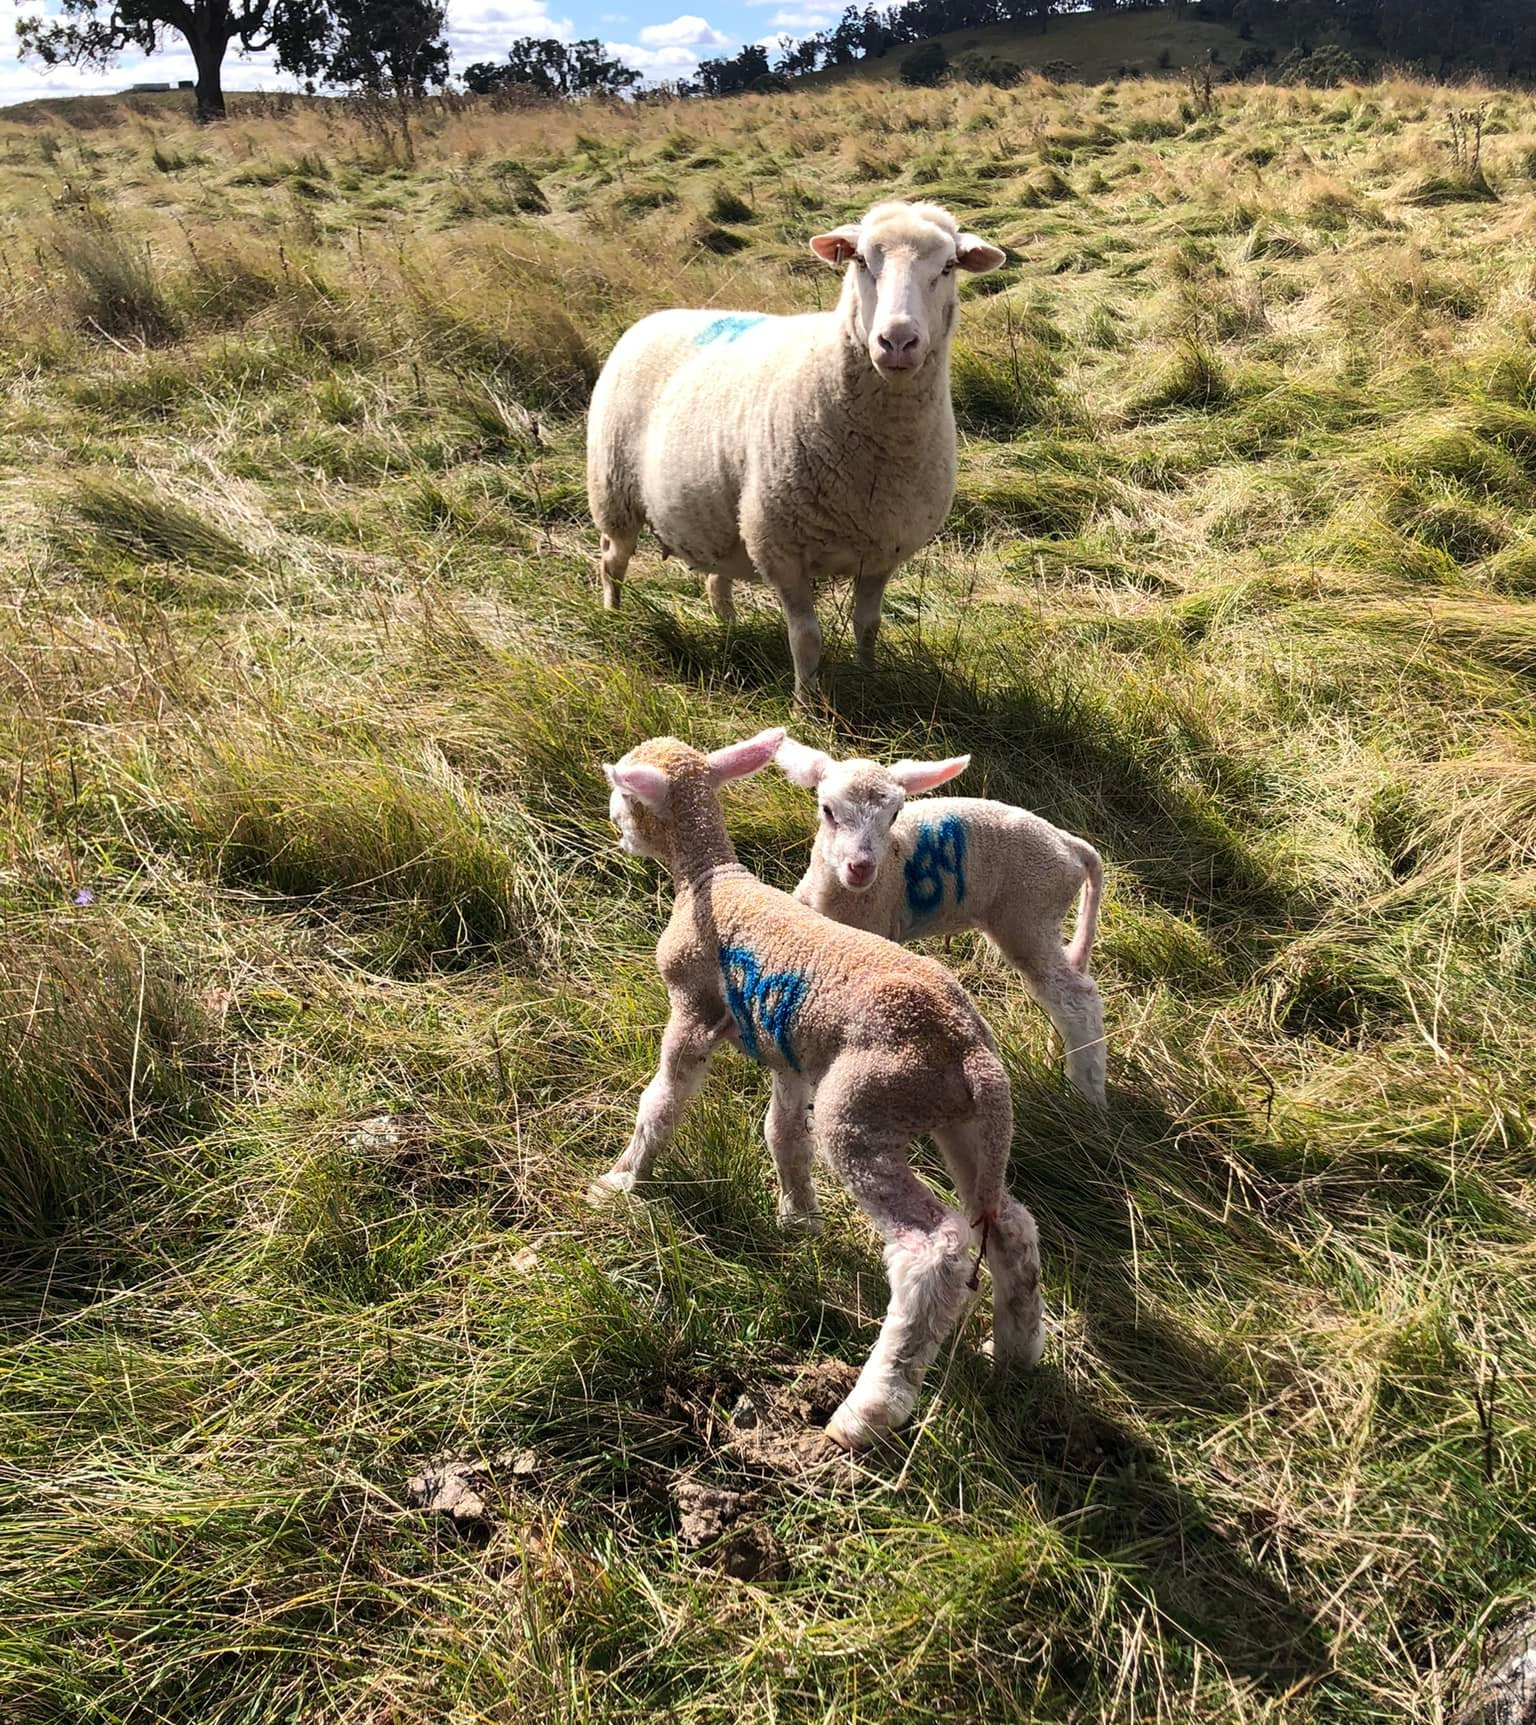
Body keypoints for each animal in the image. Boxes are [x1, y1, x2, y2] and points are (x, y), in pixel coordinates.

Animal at [585, 200, 1006, 708]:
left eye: (947, 267)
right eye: (860, 261)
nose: (897, 342)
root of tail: (654, 317)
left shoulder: (881, 551)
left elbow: (869, 626)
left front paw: (868, 679)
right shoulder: (780, 546)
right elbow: (806, 638)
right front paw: (808, 707)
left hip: (722, 516)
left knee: (715, 579)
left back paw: (729, 631)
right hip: (614, 494)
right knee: (612, 561)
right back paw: (613, 616)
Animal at [595, 725, 1043, 1452]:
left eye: (627, 789)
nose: (616, 824)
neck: (709, 881)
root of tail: (969, 1049)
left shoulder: (691, 1007)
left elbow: (661, 1101)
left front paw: (623, 1179)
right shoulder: (789, 1051)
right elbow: (783, 1134)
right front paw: (797, 1217)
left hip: (864, 1104)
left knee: (932, 1251)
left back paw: (868, 1412)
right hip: (967, 1121)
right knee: (1008, 1224)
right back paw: (1018, 1353)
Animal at [775, 739, 1108, 1108]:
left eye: (893, 815)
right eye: (827, 809)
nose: (861, 867)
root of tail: (1070, 844)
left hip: (1029, 914)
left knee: (1076, 997)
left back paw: (1085, 1094)